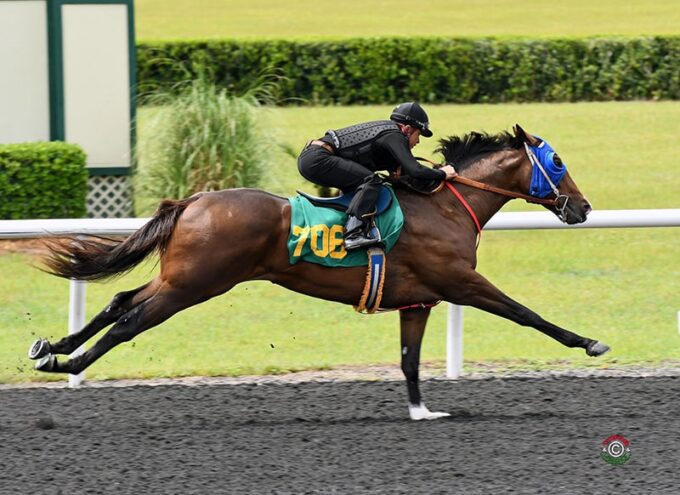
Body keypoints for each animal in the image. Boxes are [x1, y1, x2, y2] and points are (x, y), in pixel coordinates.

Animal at [27, 126, 612, 420]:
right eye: (557, 162)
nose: (582, 208)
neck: (445, 206)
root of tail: (193, 200)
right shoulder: (460, 283)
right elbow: (526, 313)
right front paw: (589, 342)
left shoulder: (418, 300)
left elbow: (409, 361)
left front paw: (422, 412)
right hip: (194, 285)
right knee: (131, 322)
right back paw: (65, 363)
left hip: (180, 277)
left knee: (120, 301)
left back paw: (50, 348)